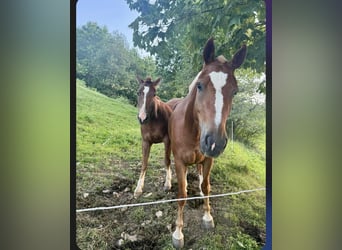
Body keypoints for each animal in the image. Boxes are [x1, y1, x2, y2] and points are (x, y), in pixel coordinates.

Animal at [168, 37, 246, 248]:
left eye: (234, 92)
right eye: (200, 85)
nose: (214, 142)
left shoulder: (208, 160)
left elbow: (206, 187)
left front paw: (208, 217)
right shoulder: (180, 162)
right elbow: (182, 195)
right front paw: (178, 233)